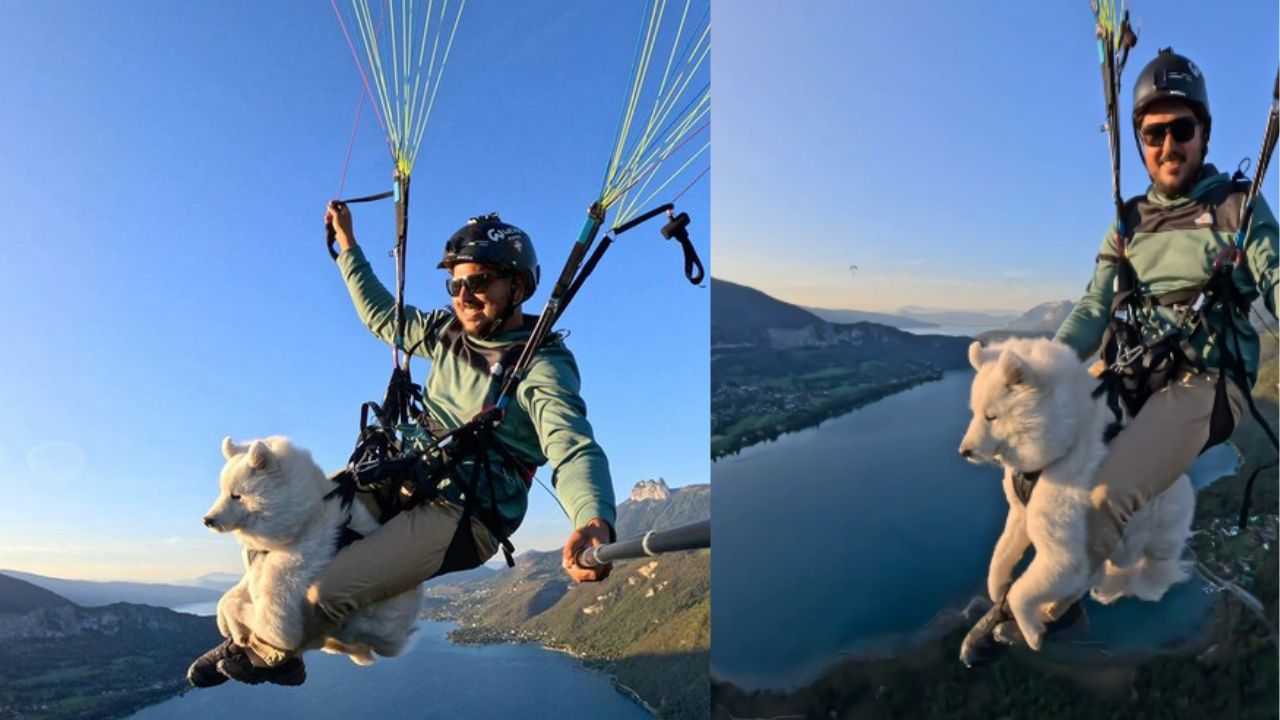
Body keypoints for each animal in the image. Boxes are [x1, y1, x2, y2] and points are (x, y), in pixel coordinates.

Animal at [199, 435, 419, 666]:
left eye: (236, 496)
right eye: (222, 491)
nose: (207, 520)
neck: (304, 519)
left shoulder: (278, 614)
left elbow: (242, 610)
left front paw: (237, 631)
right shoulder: (256, 568)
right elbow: (226, 599)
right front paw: (227, 624)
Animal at [957, 338, 1192, 648]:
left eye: (991, 416)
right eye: (973, 412)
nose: (964, 451)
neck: (1061, 442)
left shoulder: (1063, 550)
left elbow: (1022, 590)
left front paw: (1031, 632)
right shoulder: (1021, 514)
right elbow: (1001, 554)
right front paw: (997, 590)